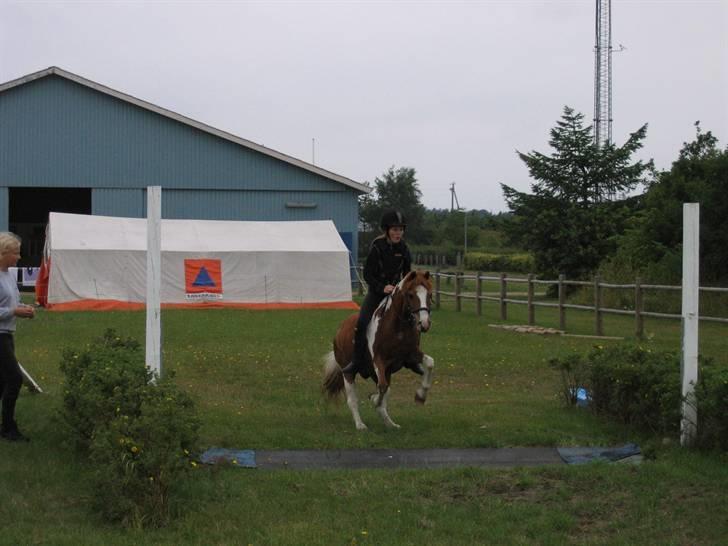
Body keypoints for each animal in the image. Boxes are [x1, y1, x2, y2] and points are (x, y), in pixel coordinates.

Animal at [322, 268, 436, 430]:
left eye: (430, 295)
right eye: (410, 295)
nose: (424, 324)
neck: (398, 328)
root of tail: (340, 330)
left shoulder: (410, 355)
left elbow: (430, 363)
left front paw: (420, 396)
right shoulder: (379, 360)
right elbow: (382, 387)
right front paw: (374, 400)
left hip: (378, 372)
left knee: (385, 393)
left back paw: (391, 424)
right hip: (349, 372)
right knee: (353, 400)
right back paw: (360, 425)